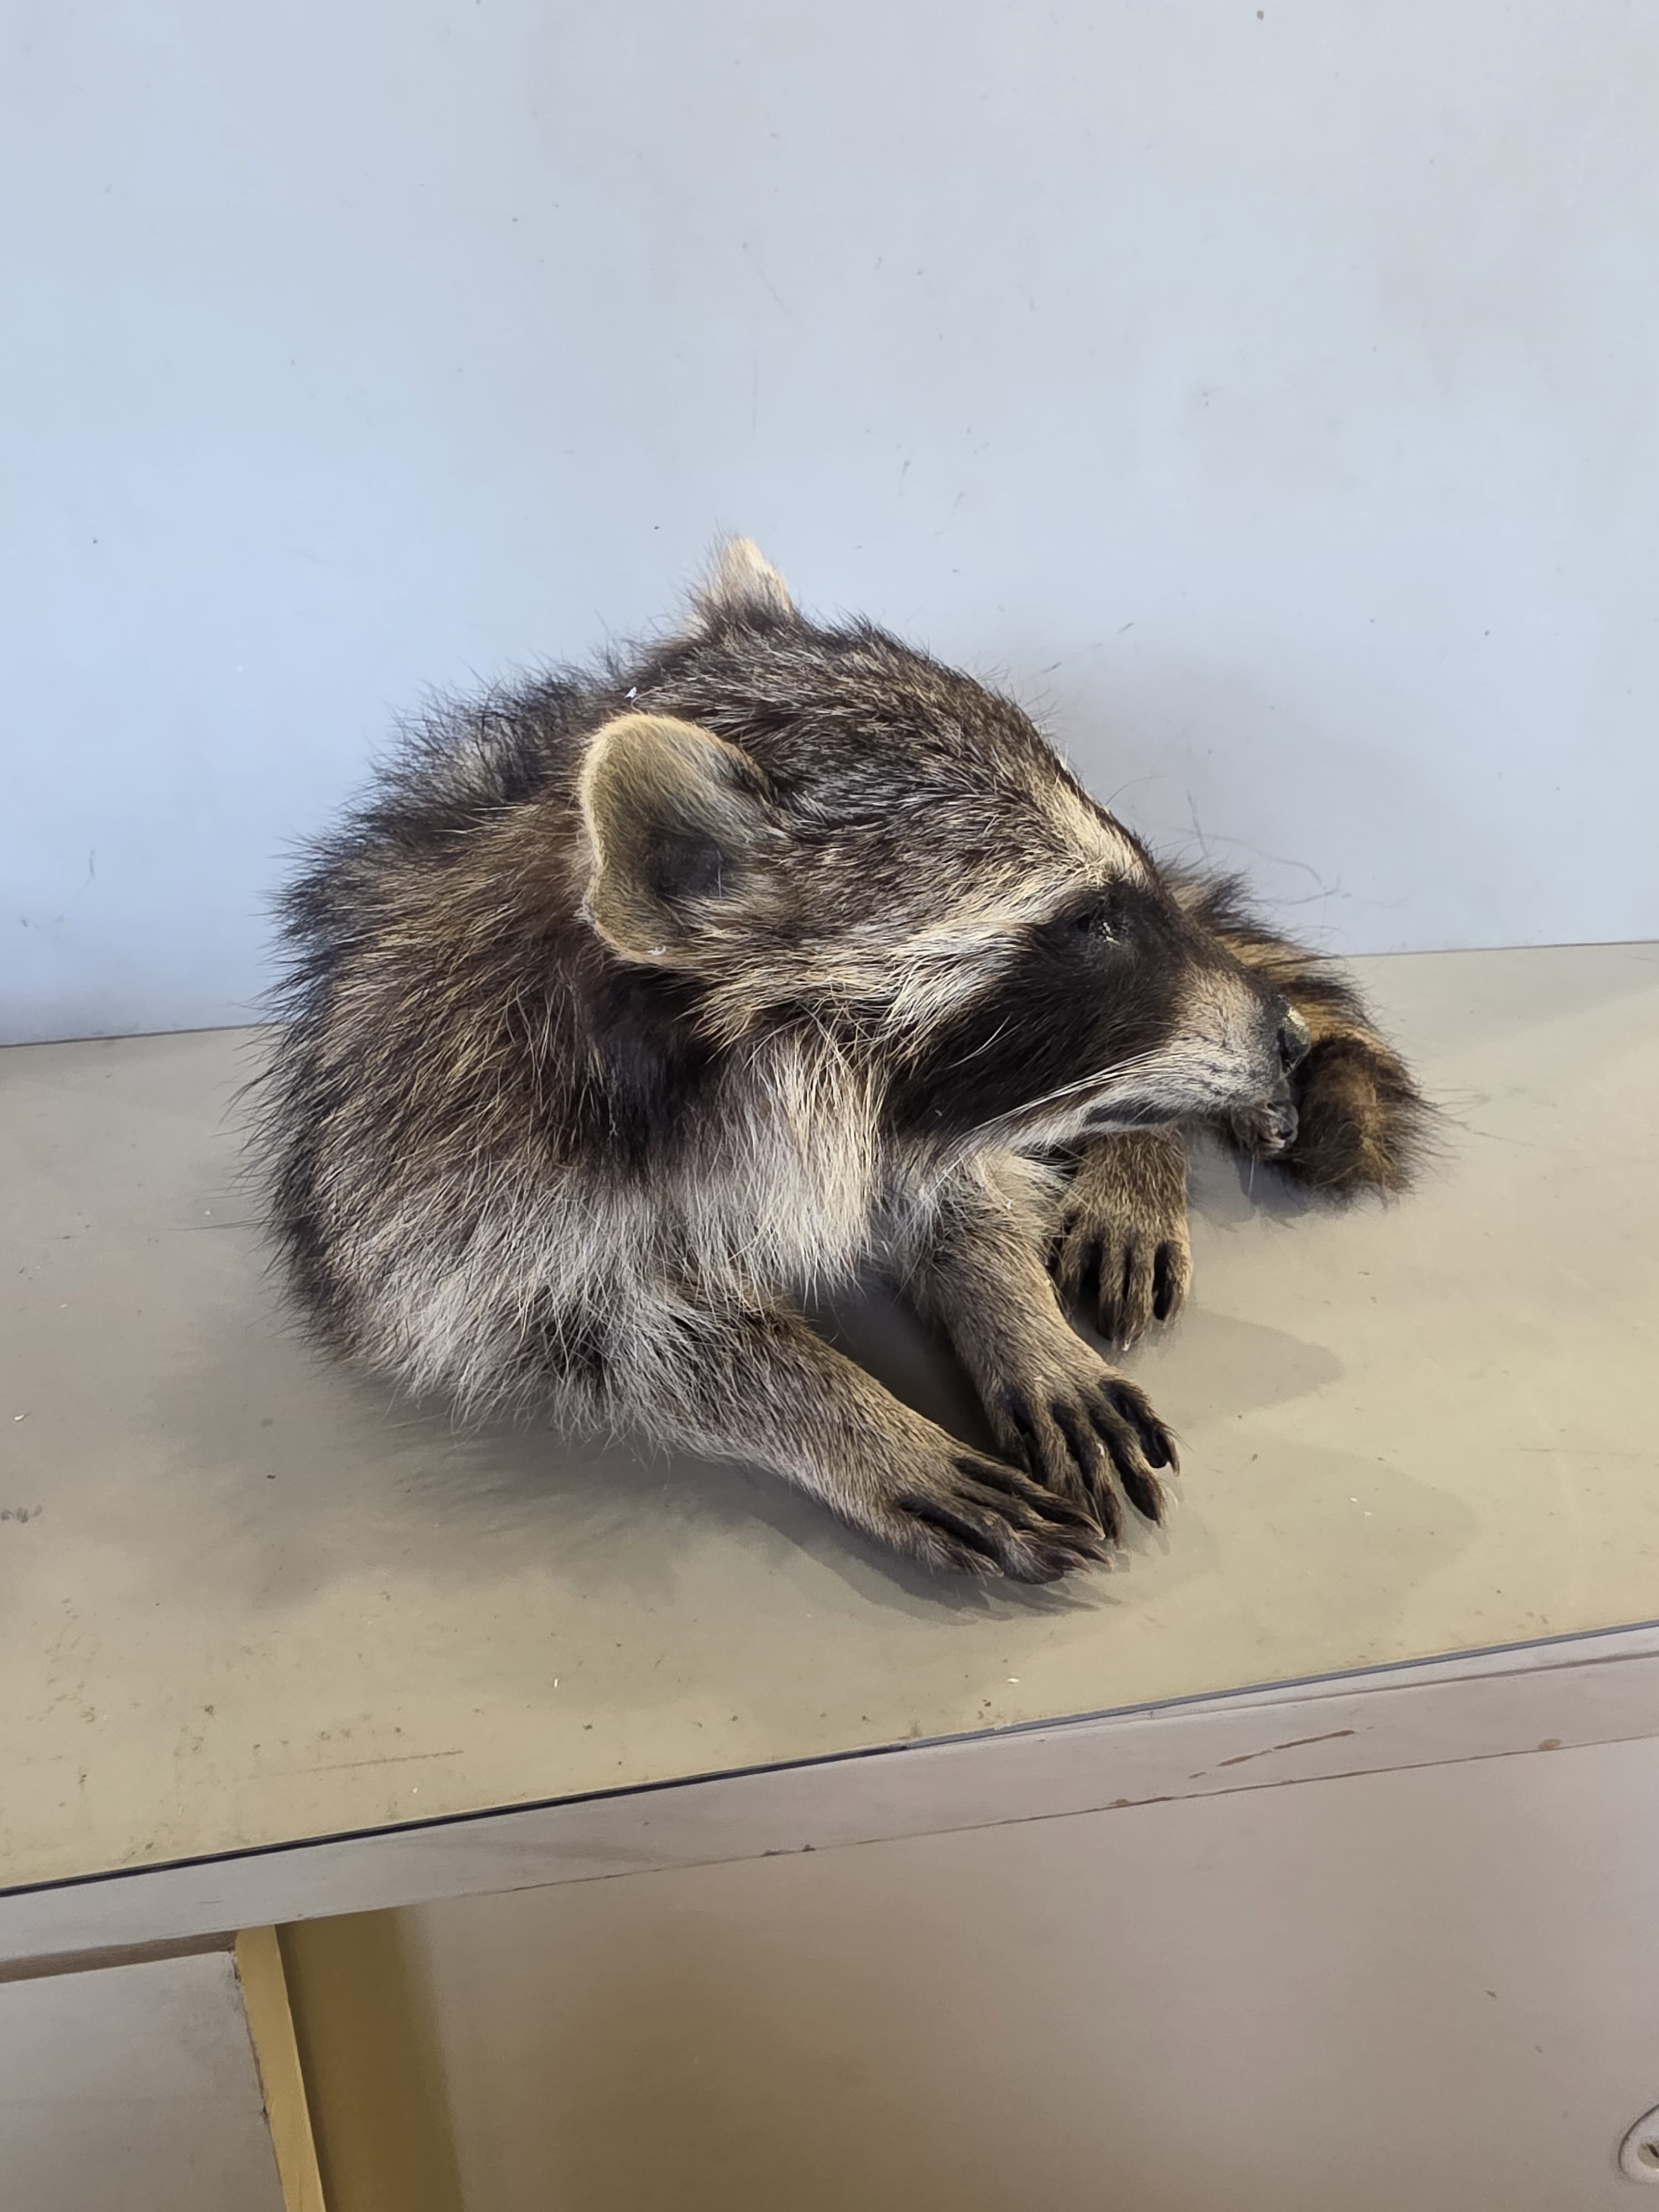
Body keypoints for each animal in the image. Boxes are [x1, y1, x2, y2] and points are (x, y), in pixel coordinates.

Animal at [261, 542, 1426, 1583]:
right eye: (1092, 925)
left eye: (1122, 892)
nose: (1284, 1038)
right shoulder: (445, 1167)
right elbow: (600, 1333)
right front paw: (844, 1415)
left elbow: (958, 1188)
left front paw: (1010, 1307)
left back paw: (1138, 1154)